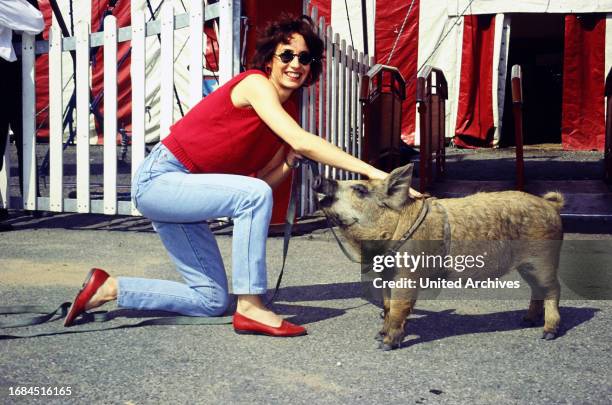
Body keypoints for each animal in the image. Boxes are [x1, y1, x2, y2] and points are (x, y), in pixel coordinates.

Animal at [314, 163, 568, 348]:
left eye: (360, 190)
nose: (319, 179)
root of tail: (551, 205)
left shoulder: (408, 275)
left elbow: (398, 307)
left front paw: (385, 345)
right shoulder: (386, 275)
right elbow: (386, 305)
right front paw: (379, 335)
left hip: (543, 260)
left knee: (553, 289)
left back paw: (547, 334)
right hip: (527, 267)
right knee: (537, 290)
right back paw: (527, 320)